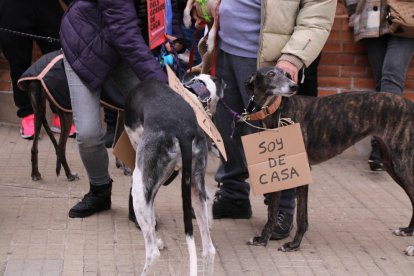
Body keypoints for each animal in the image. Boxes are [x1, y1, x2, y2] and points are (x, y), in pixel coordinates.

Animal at [124, 74, 225, 274]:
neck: (194, 92)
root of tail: (183, 131)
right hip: (195, 188)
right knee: (209, 249)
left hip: (139, 186)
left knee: (152, 253)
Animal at [244, 66, 414, 256]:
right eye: (271, 74)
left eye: (287, 74)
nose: (294, 86)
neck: (278, 111)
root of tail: (410, 104)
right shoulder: (280, 170)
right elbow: (272, 211)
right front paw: (263, 239)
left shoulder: (303, 170)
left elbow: (301, 217)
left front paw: (294, 245)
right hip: (390, 162)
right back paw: (408, 230)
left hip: (401, 163)